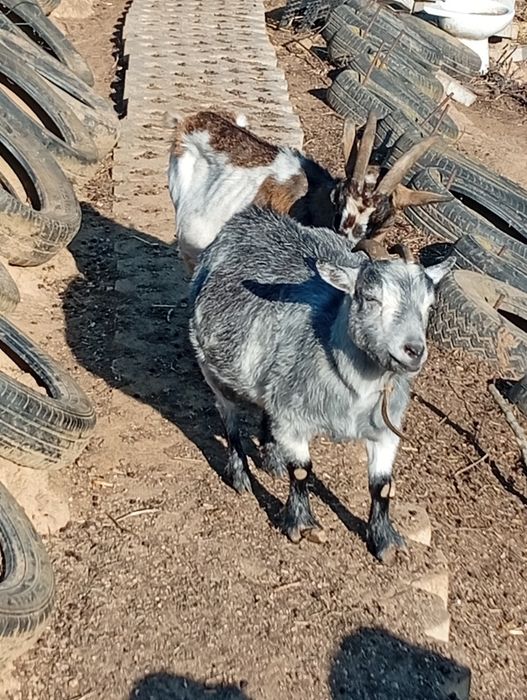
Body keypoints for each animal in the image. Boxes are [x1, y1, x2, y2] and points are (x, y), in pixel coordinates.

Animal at [189, 206, 454, 562]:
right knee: (228, 418)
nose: (413, 350)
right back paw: (241, 475)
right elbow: (302, 470)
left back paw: (272, 459)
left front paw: (385, 540)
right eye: (371, 297)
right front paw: (304, 525)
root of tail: (248, 219)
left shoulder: (387, 430)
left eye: (429, 306)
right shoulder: (292, 417)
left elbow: (382, 485)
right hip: (211, 366)